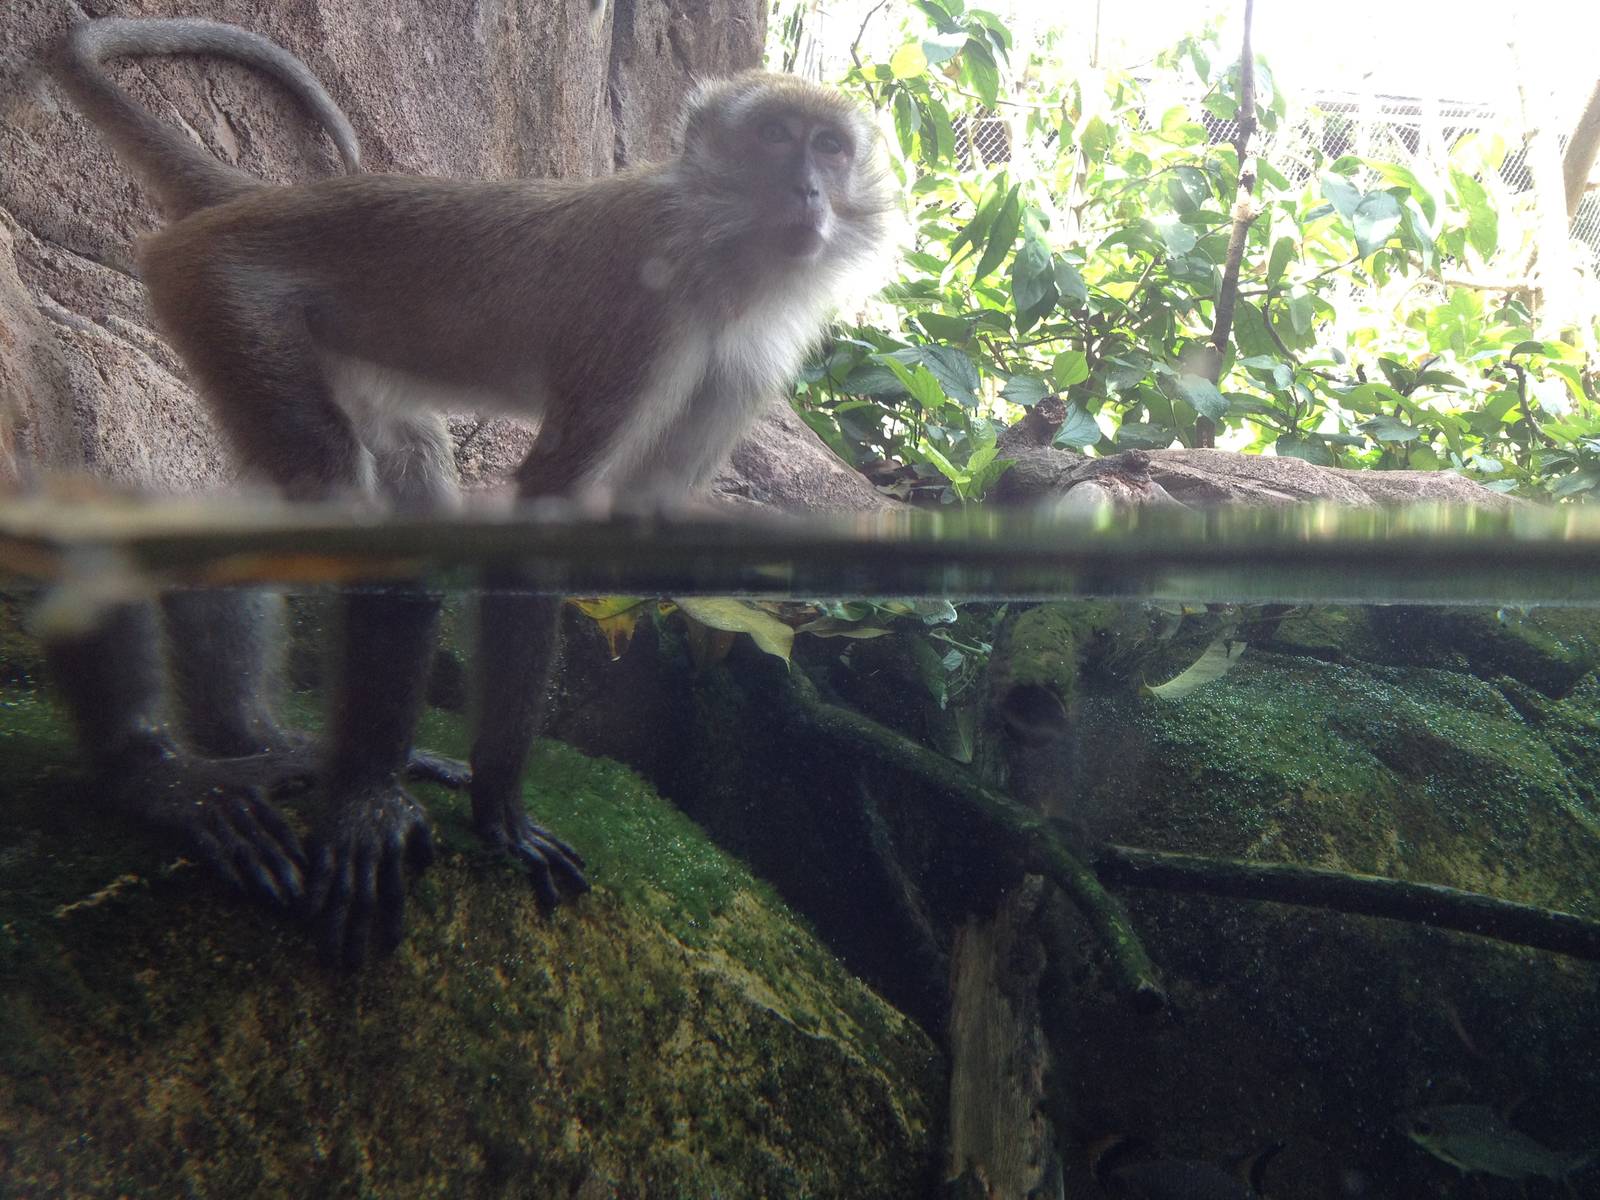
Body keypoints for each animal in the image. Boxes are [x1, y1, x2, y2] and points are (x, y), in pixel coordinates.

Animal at [48, 16, 897, 966]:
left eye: (830, 147)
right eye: (778, 139)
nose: (809, 190)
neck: (716, 249)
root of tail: (259, 204)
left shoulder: (741, 361)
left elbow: (636, 518)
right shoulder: (644, 313)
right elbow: (545, 512)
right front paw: (500, 807)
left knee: (404, 478)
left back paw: (293, 751)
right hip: (220, 290)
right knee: (339, 496)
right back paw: (346, 794)